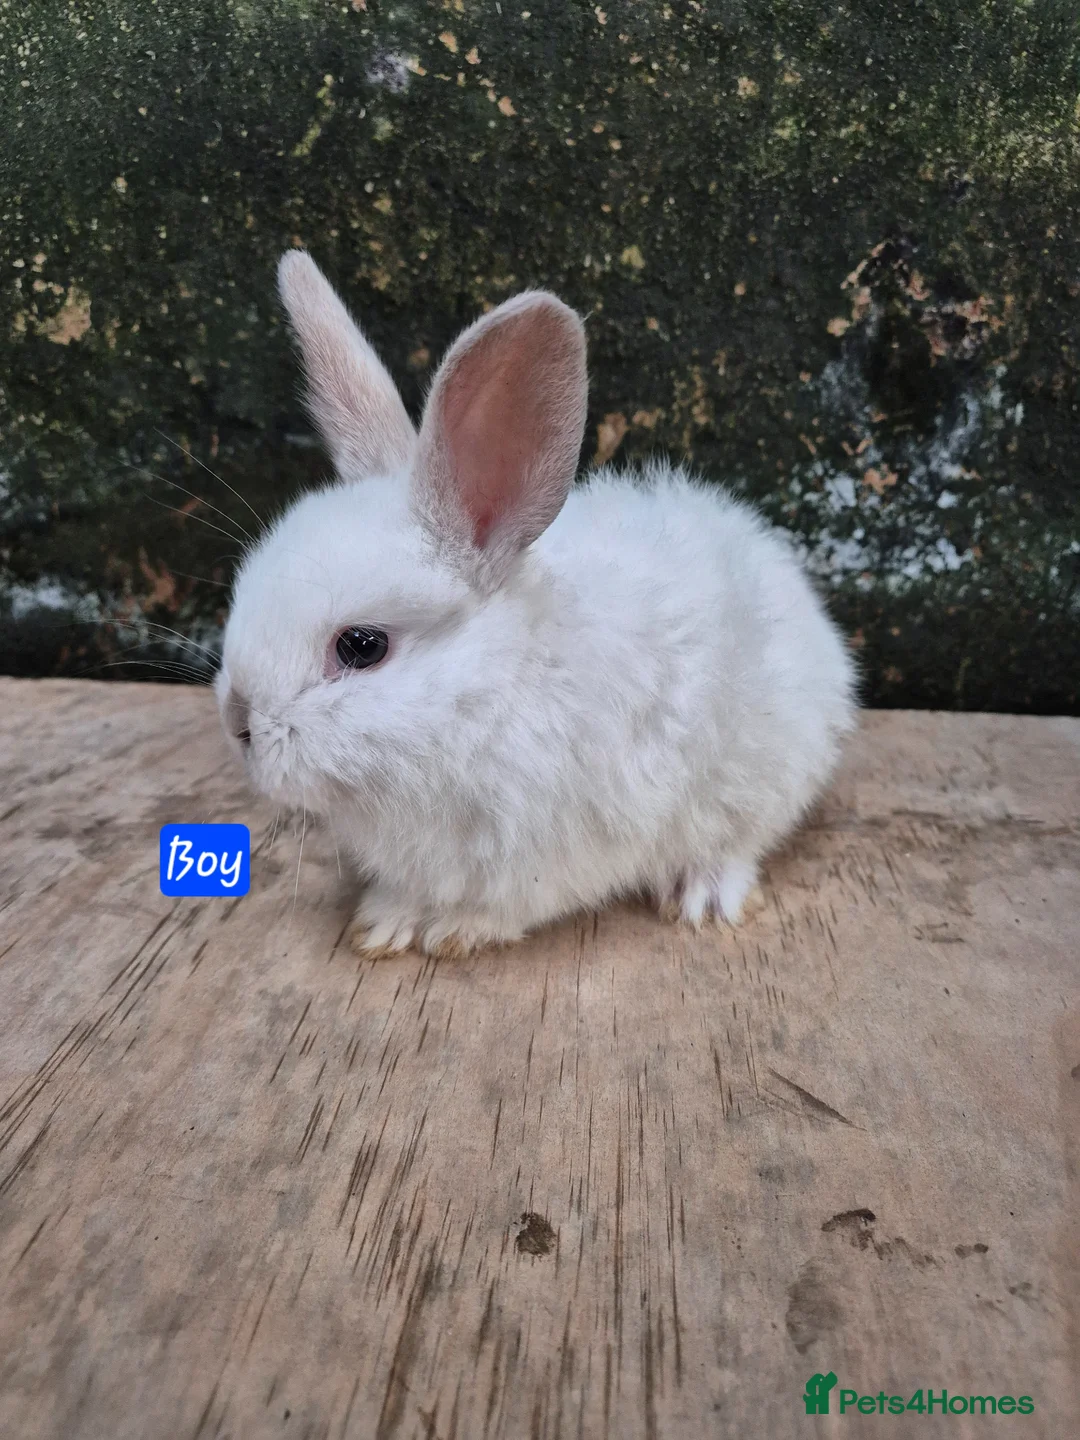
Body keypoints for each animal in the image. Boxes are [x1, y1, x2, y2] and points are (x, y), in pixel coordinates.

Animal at [216, 250, 857, 958]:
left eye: (362, 646)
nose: (238, 723)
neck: (489, 692)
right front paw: (389, 918)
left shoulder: (548, 851)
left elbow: (507, 906)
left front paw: (445, 928)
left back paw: (703, 895)